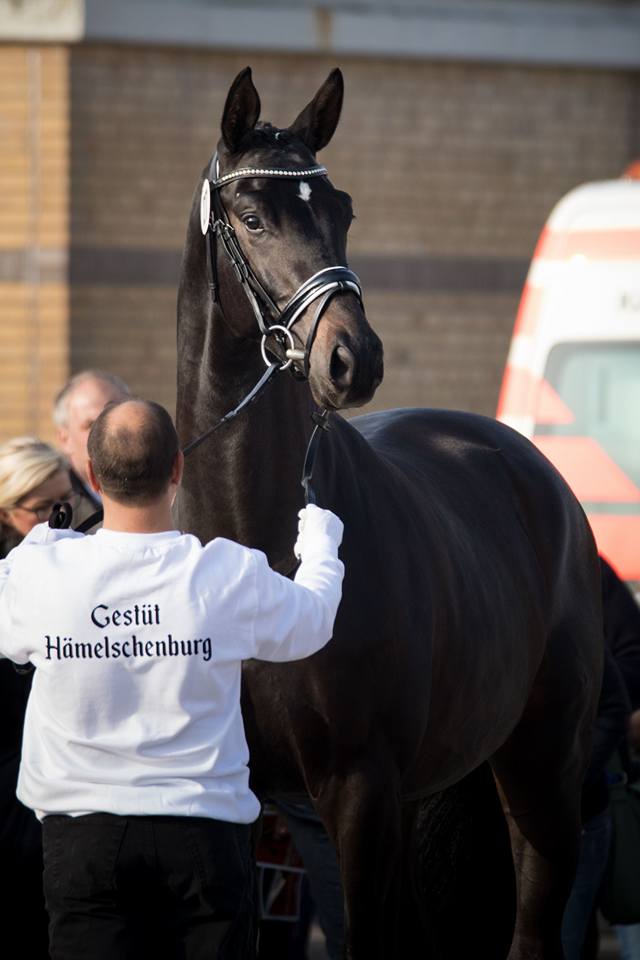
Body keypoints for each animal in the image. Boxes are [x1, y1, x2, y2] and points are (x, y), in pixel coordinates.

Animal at [176, 63, 604, 956]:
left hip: (541, 773)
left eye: (342, 210)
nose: (354, 357)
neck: (260, 545)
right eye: (254, 217)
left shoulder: (360, 789)